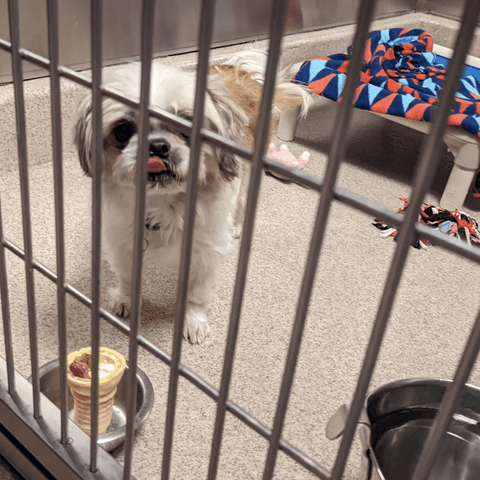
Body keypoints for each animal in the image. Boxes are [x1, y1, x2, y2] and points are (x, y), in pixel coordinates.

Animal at [71, 48, 312, 344]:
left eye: (187, 124)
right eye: (122, 130)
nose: (157, 146)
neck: (164, 205)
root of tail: (243, 74)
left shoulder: (205, 252)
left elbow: (197, 294)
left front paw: (193, 322)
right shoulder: (122, 241)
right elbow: (127, 277)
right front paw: (126, 300)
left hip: (247, 174)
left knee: (242, 203)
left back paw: (237, 227)